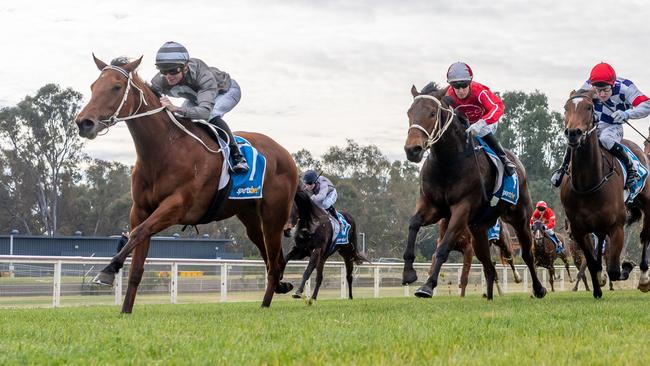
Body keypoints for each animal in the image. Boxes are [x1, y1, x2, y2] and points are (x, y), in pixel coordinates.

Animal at [74, 55, 298, 314]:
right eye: (93, 86)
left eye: (116, 87)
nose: (83, 123)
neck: (165, 149)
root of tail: (285, 153)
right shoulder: (140, 210)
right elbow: (137, 260)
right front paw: (125, 310)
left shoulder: (177, 206)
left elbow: (137, 233)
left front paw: (107, 271)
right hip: (250, 217)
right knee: (271, 258)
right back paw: (278, 289)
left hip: (274, 215)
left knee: (274, 260)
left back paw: (266, 303)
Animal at [398, 83, 544, 300]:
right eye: (409, 112)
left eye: (432, 113)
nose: (412, 150)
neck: (448, 162)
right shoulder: (432, 206)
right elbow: (413, 224)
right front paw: (408, 273)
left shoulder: (462, 208)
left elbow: (443, 247)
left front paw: (427, 286)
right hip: (478, 229)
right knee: (489, 266)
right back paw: (490, 297)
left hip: (520, 216)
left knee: (526, 254)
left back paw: (539, 289)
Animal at [556, 89, 648, 298]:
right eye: (566, 107)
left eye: (589, 107)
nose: (573, 133)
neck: (587, 183)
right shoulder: (579, 230)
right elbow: (591, 262)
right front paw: (598, 286)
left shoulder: (617, 227)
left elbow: (614, 269)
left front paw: (627, 266)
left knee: (645, 236)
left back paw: (644, 278)